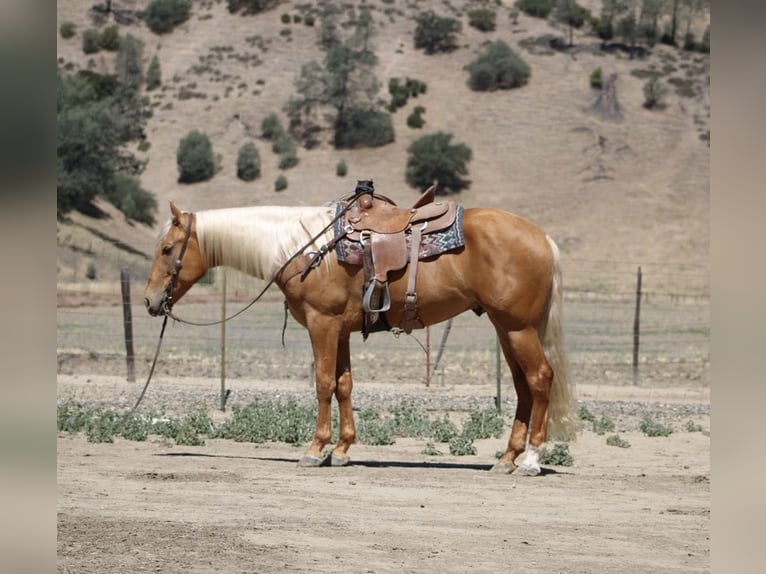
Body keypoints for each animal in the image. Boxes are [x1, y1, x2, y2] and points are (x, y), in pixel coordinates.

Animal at [144, 198, 580, 475]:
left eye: (167, 249)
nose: (150, 300)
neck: (305, 249)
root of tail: (542, 238)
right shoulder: (341, 330)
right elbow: (344, 385)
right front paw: (341, 450)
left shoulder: (322, 323)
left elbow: (322, 384)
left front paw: (315, 450)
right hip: (506, 329)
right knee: (523, 386)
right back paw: (506, 458)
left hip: (518, 328)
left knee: (540, 379)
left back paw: (530, 460)